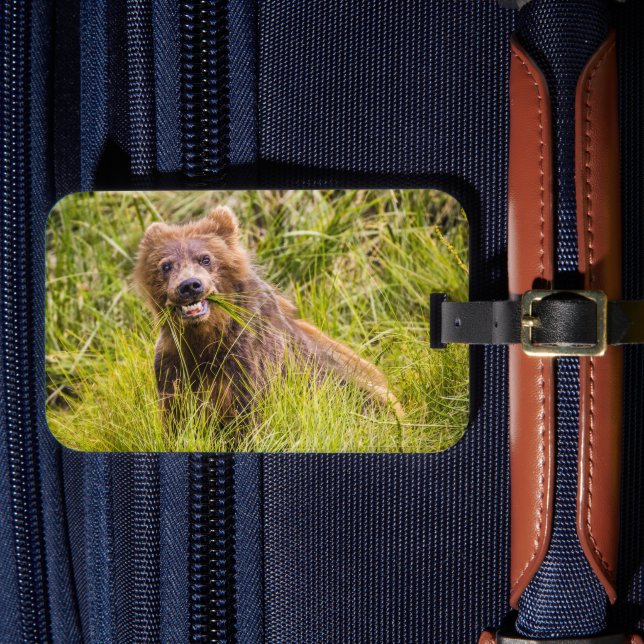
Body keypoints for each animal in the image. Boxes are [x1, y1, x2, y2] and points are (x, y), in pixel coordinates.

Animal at [133, 206, 403, 430]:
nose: (189, 286)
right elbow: (175, 416)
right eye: (166, 265)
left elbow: (249, 415)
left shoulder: (248, 358)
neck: (206, 336)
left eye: (205, 258)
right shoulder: (174, 361)